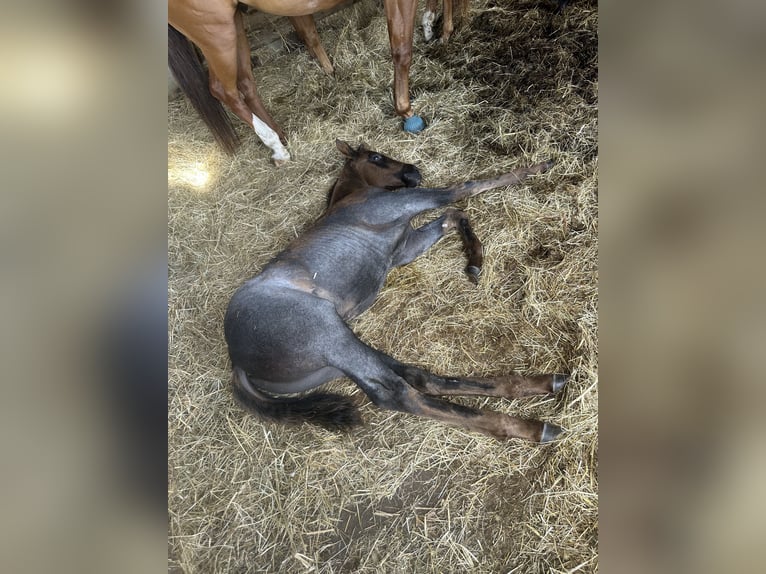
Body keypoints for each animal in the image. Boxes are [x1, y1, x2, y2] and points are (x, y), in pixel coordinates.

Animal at [168, 0, 469, 162]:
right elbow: (402, 50)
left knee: (245, 83)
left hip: (233, 23)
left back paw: (280, 135)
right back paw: (276, 148)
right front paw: (405, 111)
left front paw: (436, 29)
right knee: (223, 90)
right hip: (215, 33)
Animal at [224, 140, 567, 442]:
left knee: (416, 376)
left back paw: (541, 383)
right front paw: (540, 165)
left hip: (336, 352)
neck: (353, 196)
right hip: (327, 335)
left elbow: (455, 216)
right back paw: (530, 427)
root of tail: (236, 361)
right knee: (395, 392)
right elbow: (464, 189)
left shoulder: (405, 247)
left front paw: (474, 262)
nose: (413, 172)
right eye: (376, 158)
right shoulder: (411, 202)